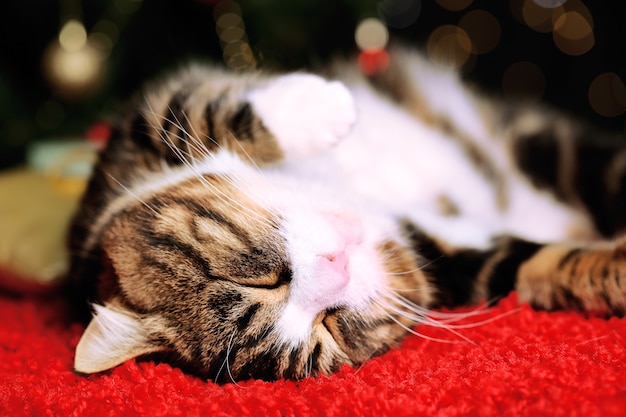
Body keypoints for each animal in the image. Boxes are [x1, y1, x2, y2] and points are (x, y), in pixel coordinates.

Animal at [68, 45, 624, 380]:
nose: (336, 269)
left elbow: (204, 111)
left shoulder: (133, 140)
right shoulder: (455, 258)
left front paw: (326, 106)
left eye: (259, 280)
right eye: (328, 328)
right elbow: (540, 263)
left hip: (550, 146)